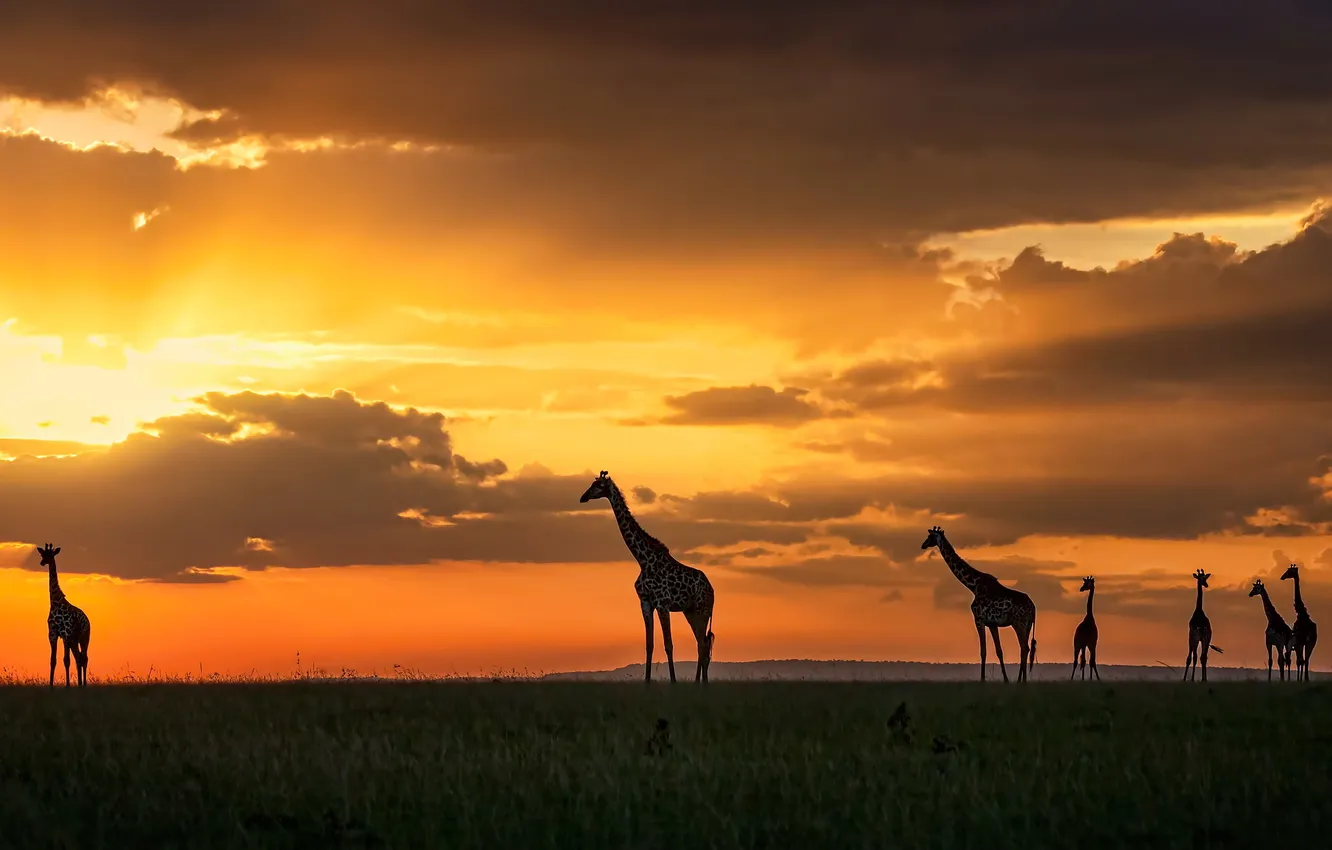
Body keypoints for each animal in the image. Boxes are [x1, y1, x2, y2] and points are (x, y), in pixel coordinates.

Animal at [36, 544, 91, 688]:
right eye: (42, 554)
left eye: (51, 554)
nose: (42, 562)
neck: (55, 602)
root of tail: (88, 620)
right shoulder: (52, 634)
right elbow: (53, 660)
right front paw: (51, 686)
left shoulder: (66, 634)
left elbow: (66, 660)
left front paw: (67, 686)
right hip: (74, 640)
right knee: (78, 657)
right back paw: (79, 684)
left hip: (84, 638)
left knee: (84, 658)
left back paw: (84, 684)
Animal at [579, 471, 715, 684]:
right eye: (592, 484)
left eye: (599, 485)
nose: (583, 497)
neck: (643, 559)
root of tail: (712, 590)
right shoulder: (645, 602)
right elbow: (649, 645)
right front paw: (647, 682)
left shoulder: (662, 603)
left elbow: (669, 644)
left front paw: (674, 682)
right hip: (691, 611)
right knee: (702, 644)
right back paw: (700, 684)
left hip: (703, 609)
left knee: (703, 645)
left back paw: (701, 684)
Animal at [921, 526, 1037, 683]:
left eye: (930, 536)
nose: (923, 545)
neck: (973, 585)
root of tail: (1033, 608)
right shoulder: (992, 624)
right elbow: (999, 651)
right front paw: (1006, 680)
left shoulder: (979, 619)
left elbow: (983, 651)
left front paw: (982, 680)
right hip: (1027, 624)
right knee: (1025, 648)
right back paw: (1021, 681)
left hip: (1018, 623)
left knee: (1024, 647)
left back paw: (1022, 681)